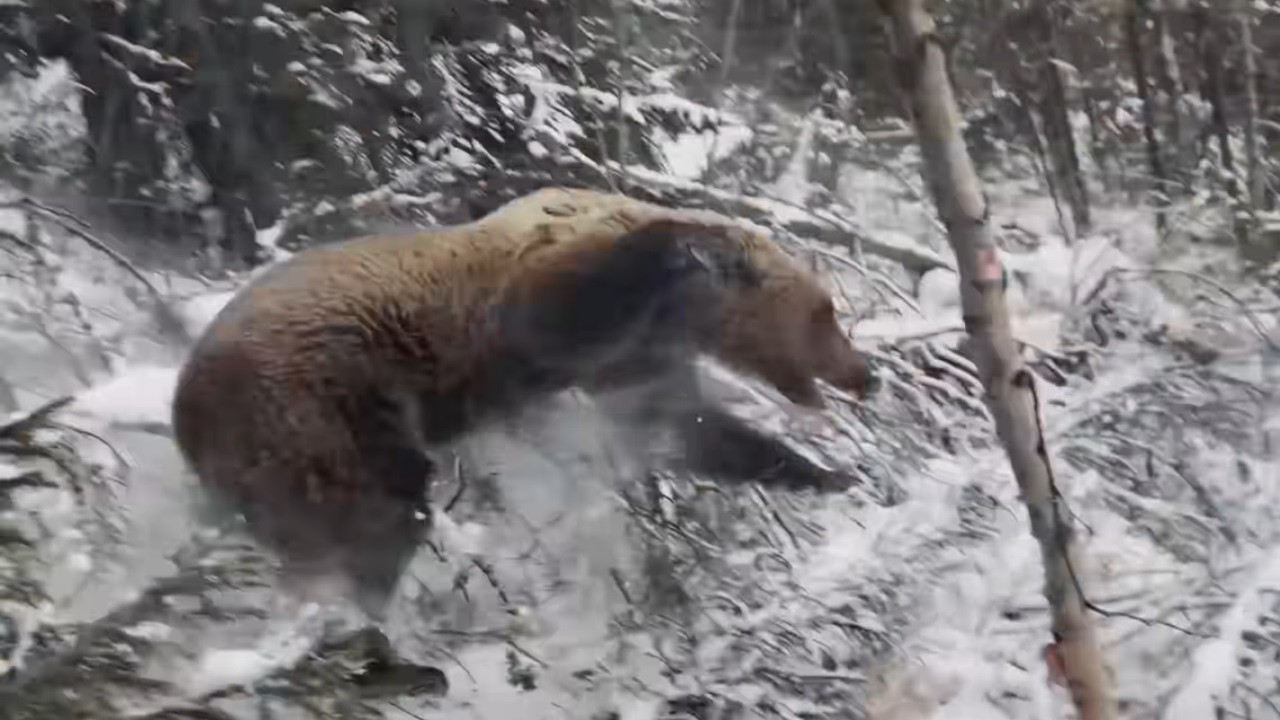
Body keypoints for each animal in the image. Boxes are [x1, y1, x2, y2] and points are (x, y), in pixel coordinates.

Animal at [170, 186, 877, 618]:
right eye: (824, 312)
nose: (864, 374)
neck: (674, 312)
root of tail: (186, 411)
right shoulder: (547, 295)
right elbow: (558, 310)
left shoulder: (636, 363)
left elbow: (689, 427)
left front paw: (830, 474)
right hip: (314, 402)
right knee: (378, 501)